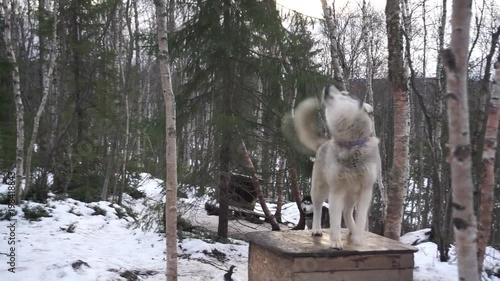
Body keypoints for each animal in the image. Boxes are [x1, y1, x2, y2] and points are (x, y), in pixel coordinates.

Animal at [294, 85, 380, 247]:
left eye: (345, 94)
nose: (328, 86)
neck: (350, 145)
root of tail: (324, 142)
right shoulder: (337, 190)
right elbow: (334, 220)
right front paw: (335, 242)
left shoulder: (366, 191)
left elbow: (361, 218)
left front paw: (358, 238)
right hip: (319, 189)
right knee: (318, 209)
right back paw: (316, 229)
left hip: (352, 195)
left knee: (347, 212)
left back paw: (353, 230)